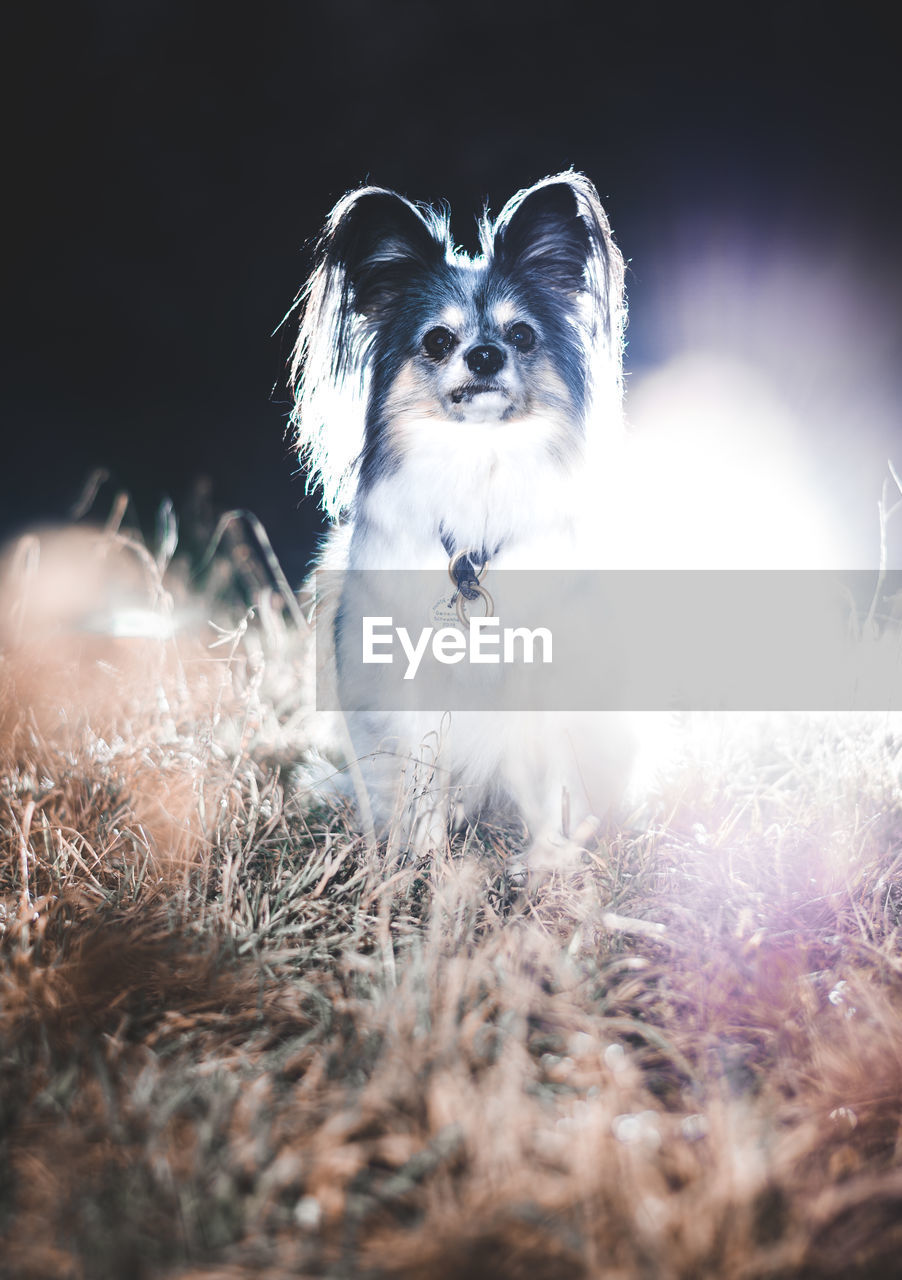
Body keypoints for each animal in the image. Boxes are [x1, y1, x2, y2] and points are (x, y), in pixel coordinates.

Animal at [289, 172, 634, 880]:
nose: (483, 355)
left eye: (521, 336)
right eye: (438, 341)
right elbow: (422, 767)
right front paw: (420, 858)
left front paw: (547, 862)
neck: (480, 462)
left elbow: (548, 775)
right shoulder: (409, 684)